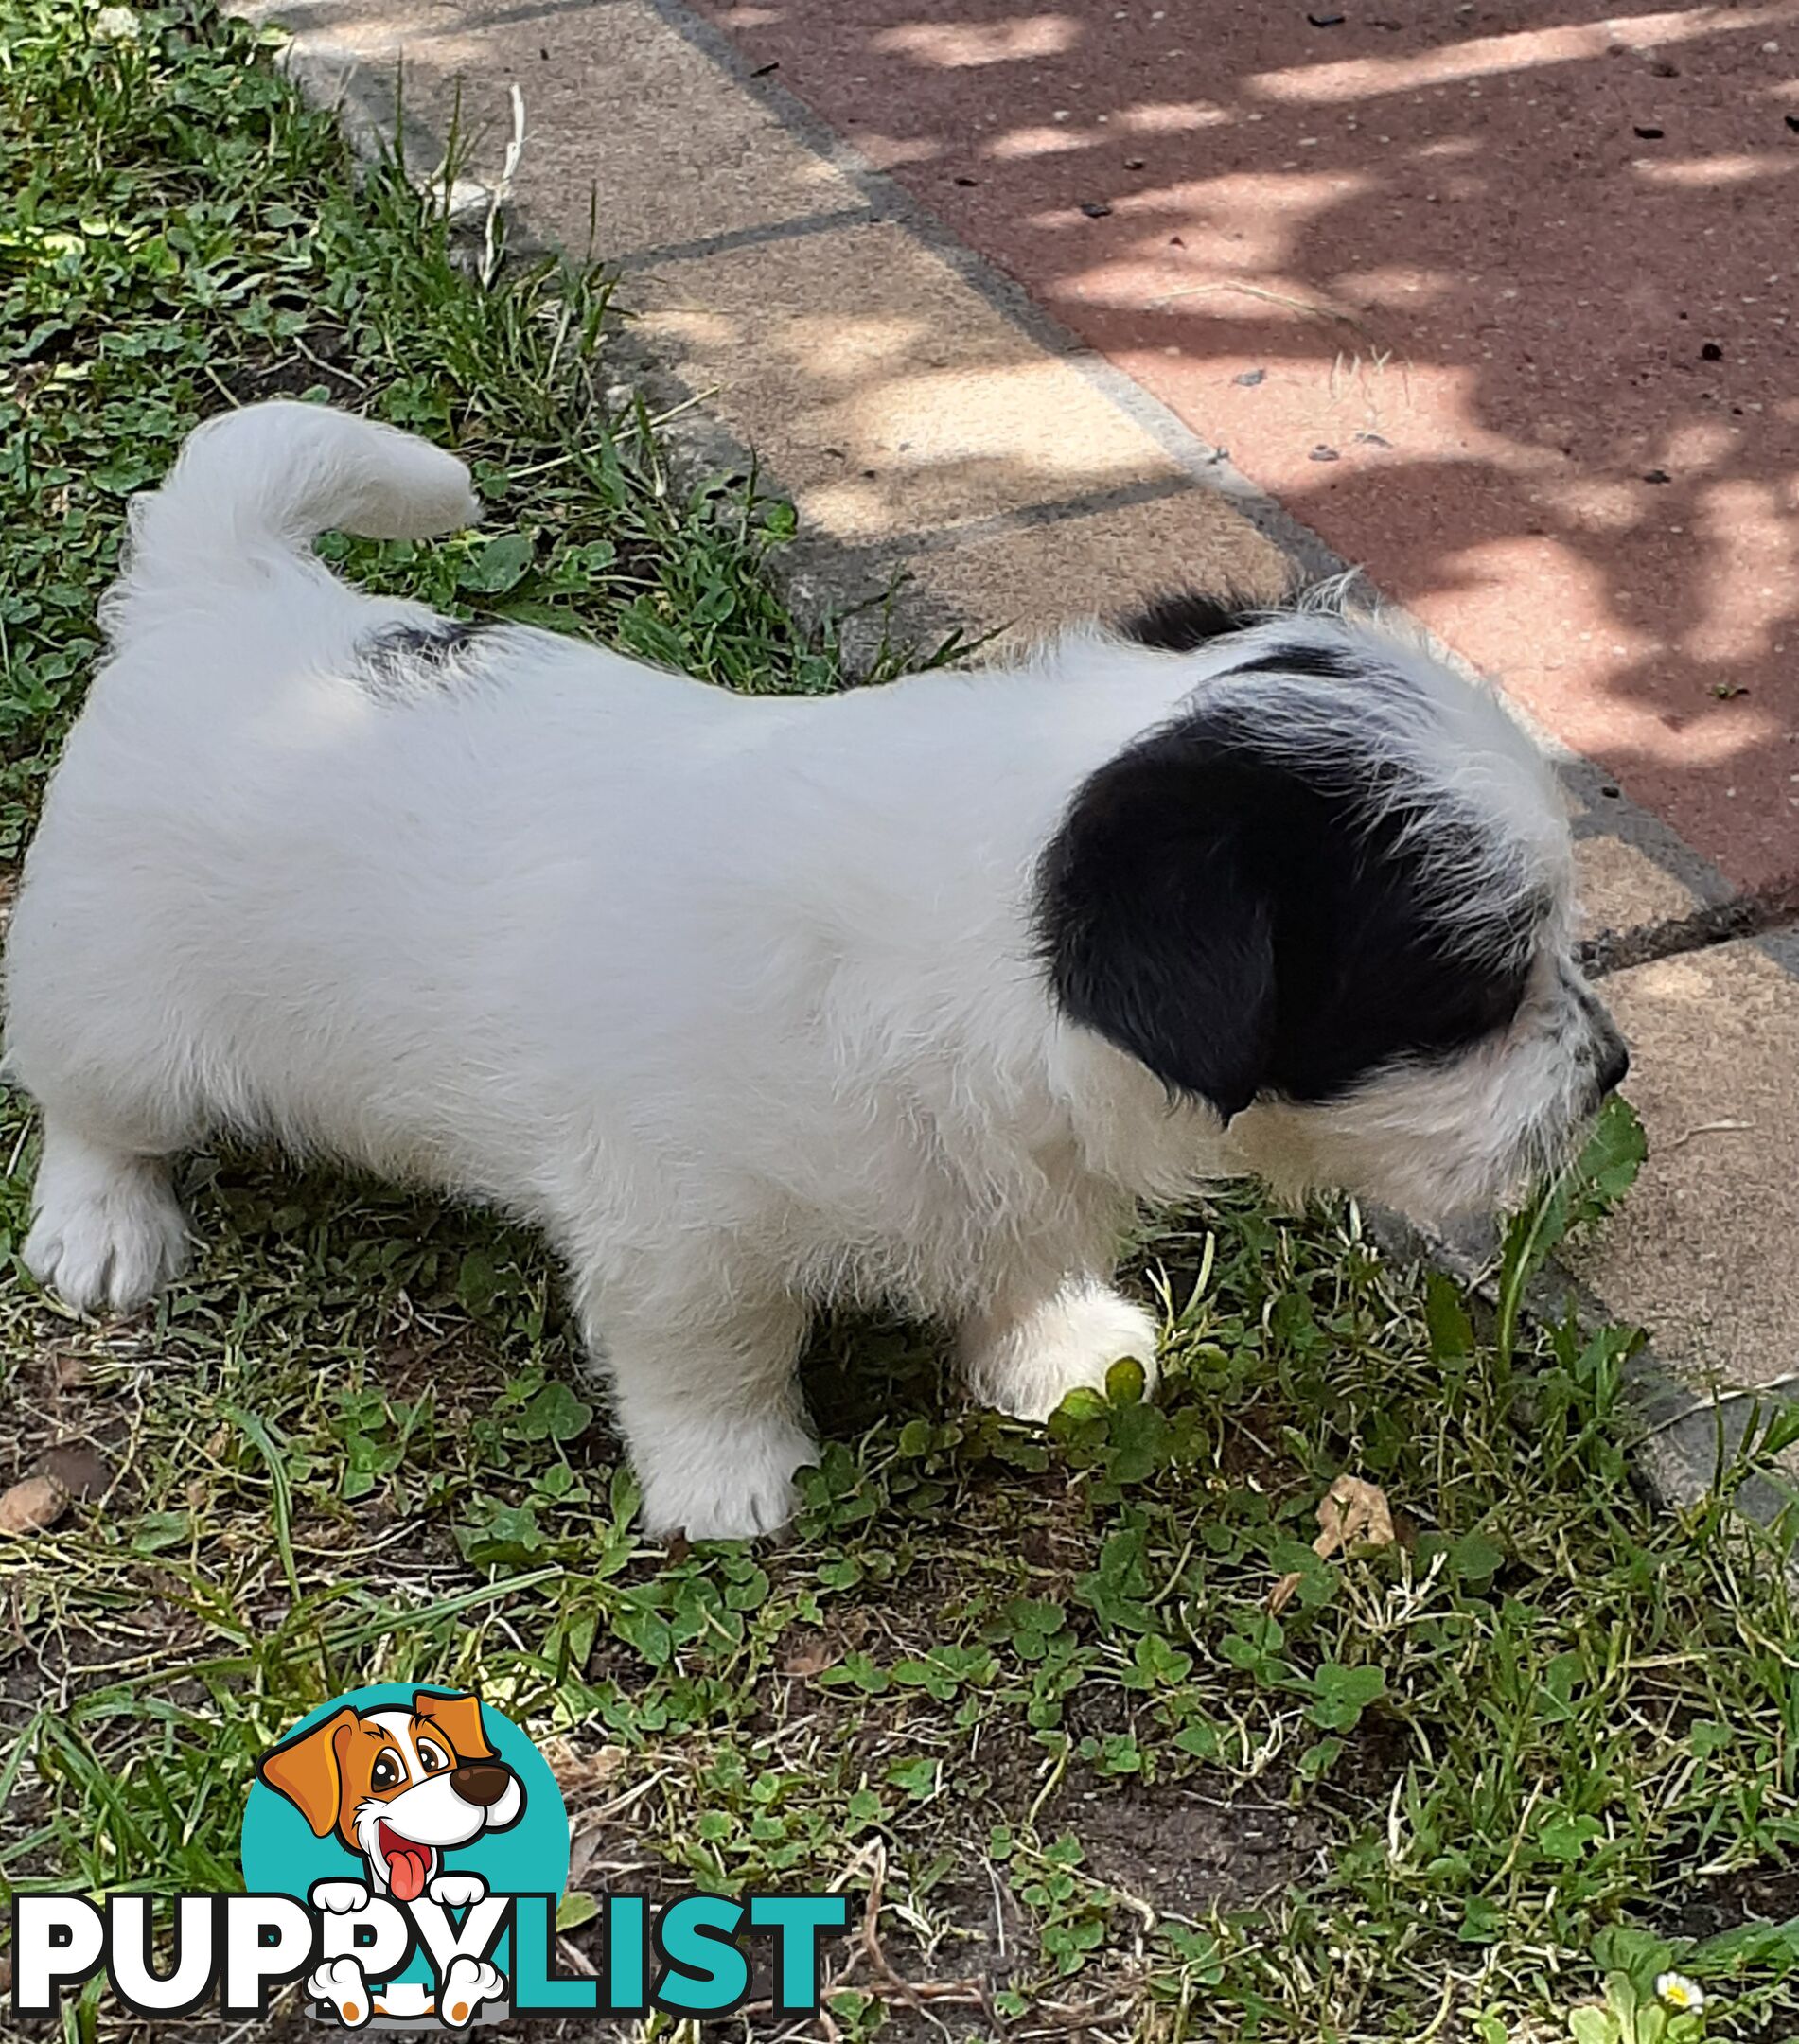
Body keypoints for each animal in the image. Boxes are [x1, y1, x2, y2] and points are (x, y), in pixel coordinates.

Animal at [3, 406, 1627, 1537]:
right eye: (1471, 994)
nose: (1610, 1071)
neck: (973, 927)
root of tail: (229, 595)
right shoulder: (679, 1231)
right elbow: (705, 1357)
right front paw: (730, 1479)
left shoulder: (1000, 1175)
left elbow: (1014, 1259)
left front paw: (1053, 1353)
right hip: (116, 998)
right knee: (87, 1109)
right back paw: (102, 1227)